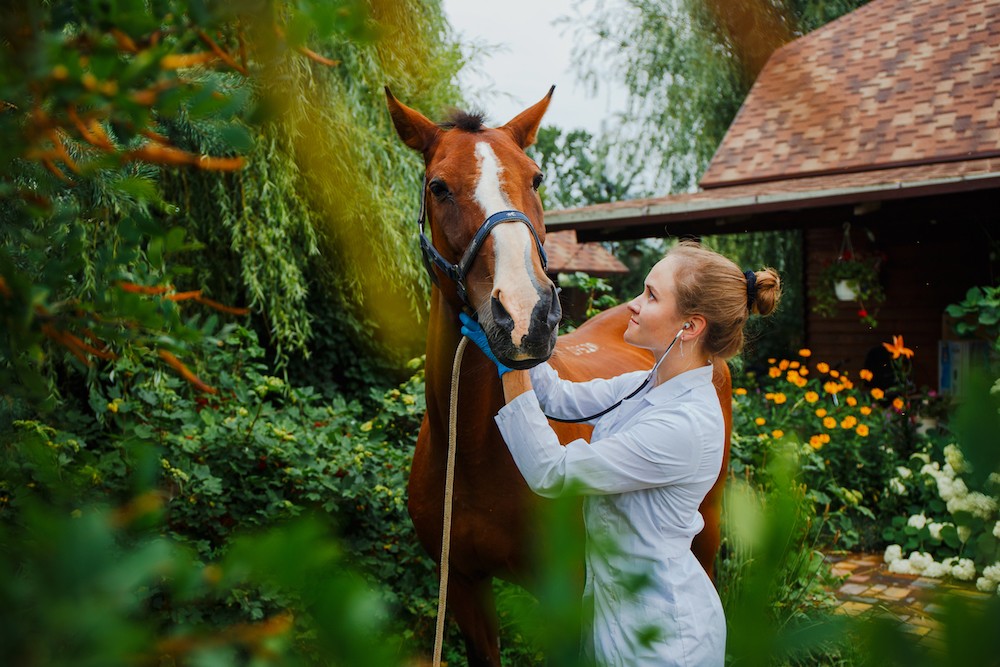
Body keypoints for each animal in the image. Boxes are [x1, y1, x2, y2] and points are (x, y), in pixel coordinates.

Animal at [386, 88, 732, 667]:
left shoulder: (563, 593)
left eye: (537, 177)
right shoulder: (463, 586)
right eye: (438, 186)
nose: (527, 314)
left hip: (705, 530)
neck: (475, 449)